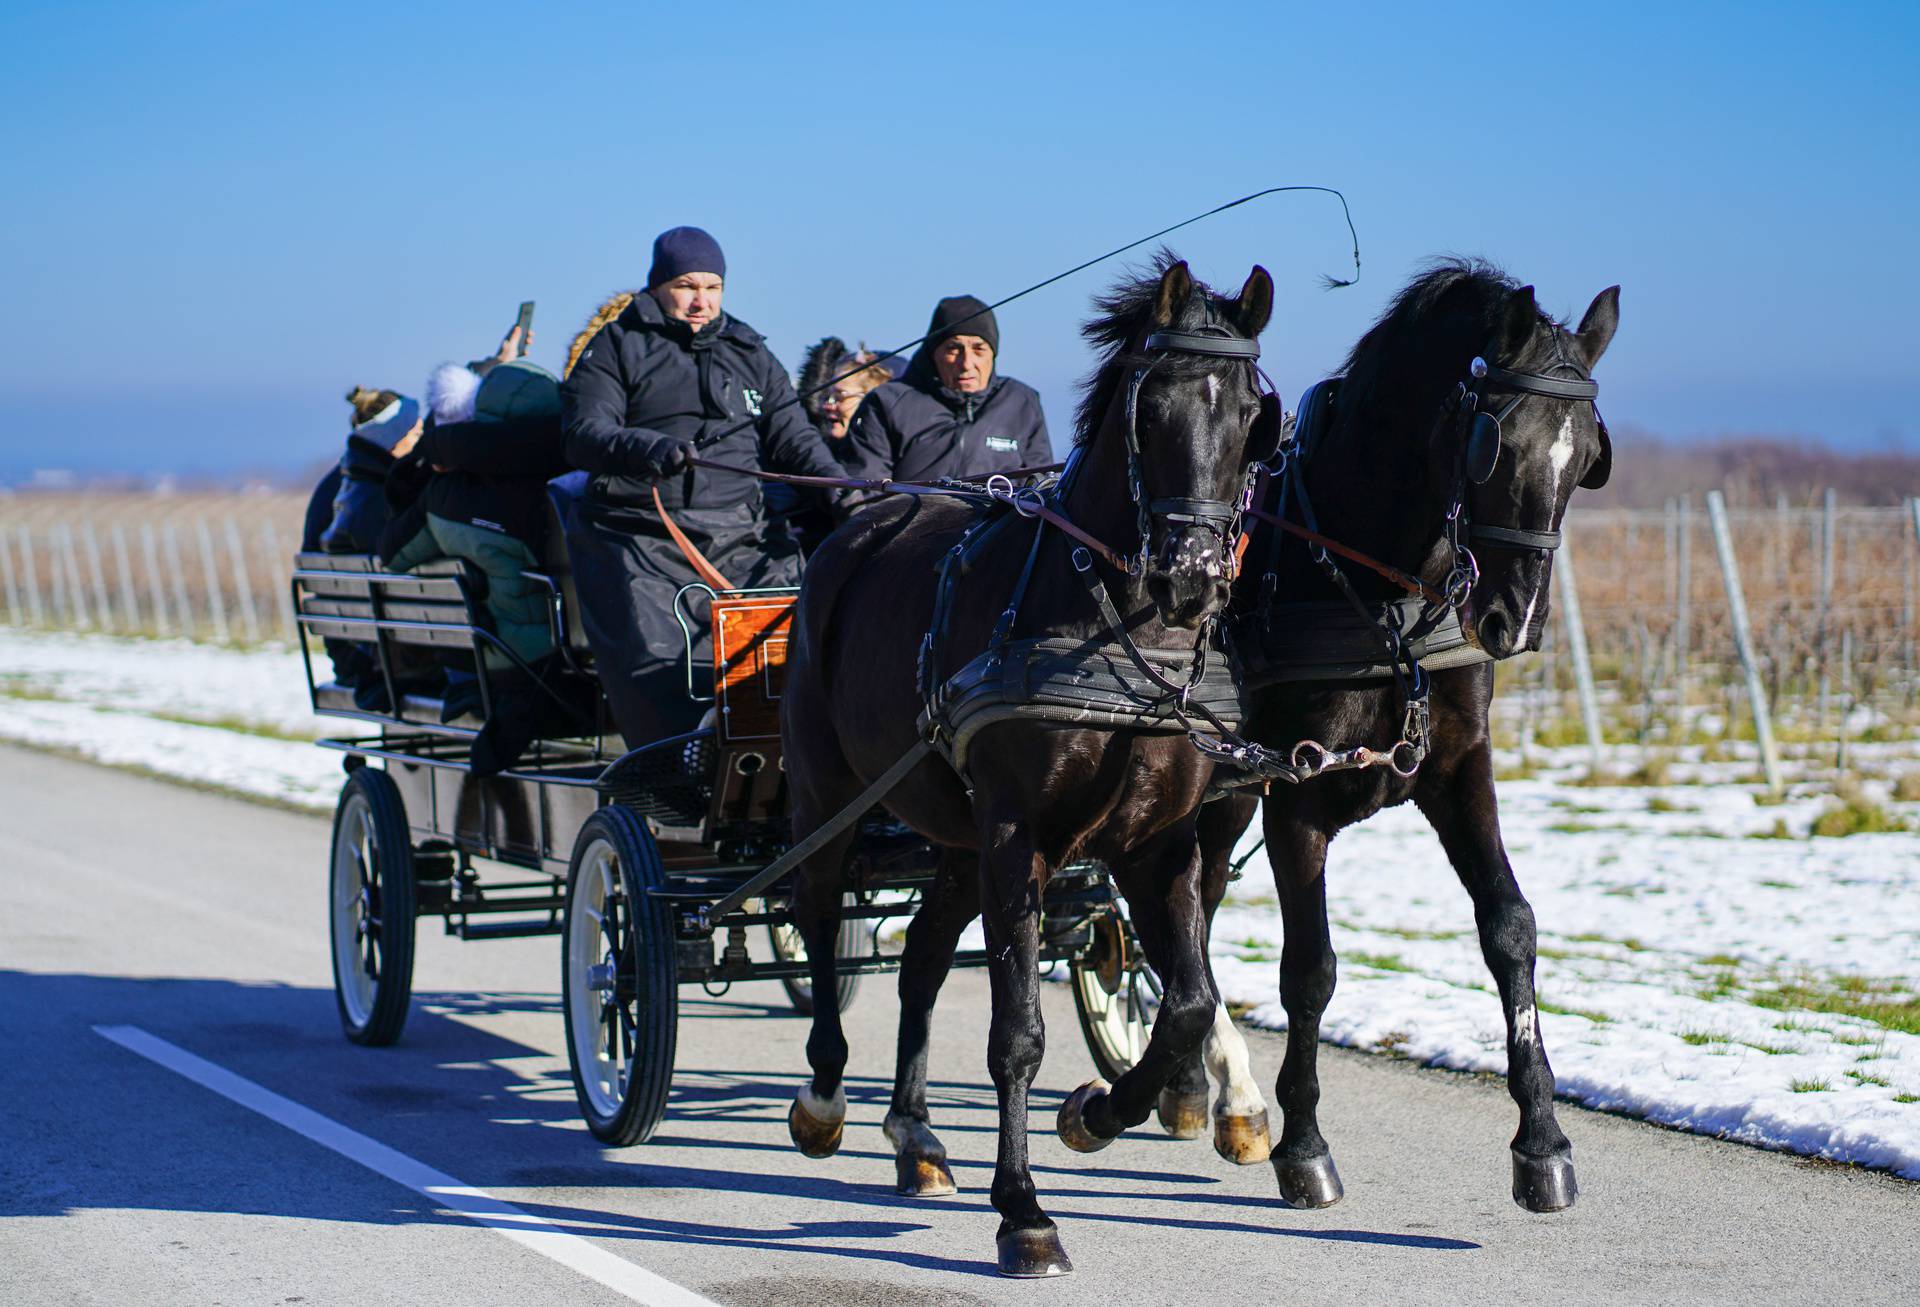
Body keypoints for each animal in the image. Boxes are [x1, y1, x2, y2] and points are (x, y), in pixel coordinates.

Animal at [771, 255, 1282, 1274]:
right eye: (1154, 405)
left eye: (1255, 417)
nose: (1193, 575)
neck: (1117, 634)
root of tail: (862, 525)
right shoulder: (1018, 836)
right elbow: (1017, 1032)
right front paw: (1025, 1210)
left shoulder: (1155, 845)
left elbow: (1190, 1002)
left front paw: (1101, 1111)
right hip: (828, 795)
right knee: (816, 915)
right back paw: (825, 1097)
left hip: (954, 835)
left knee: (923, 955)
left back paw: (917, 1136)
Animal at [1152, 255, 1620, 1212]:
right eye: (1499, 443)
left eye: (1586, 454)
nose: (1514, 621)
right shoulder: (1294, 792)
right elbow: (1310, 968)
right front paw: (1304, 1144)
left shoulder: (1459, 769)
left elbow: (1510, 926)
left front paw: (1542, 1138)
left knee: (1198, 899)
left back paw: (1192, 1086)